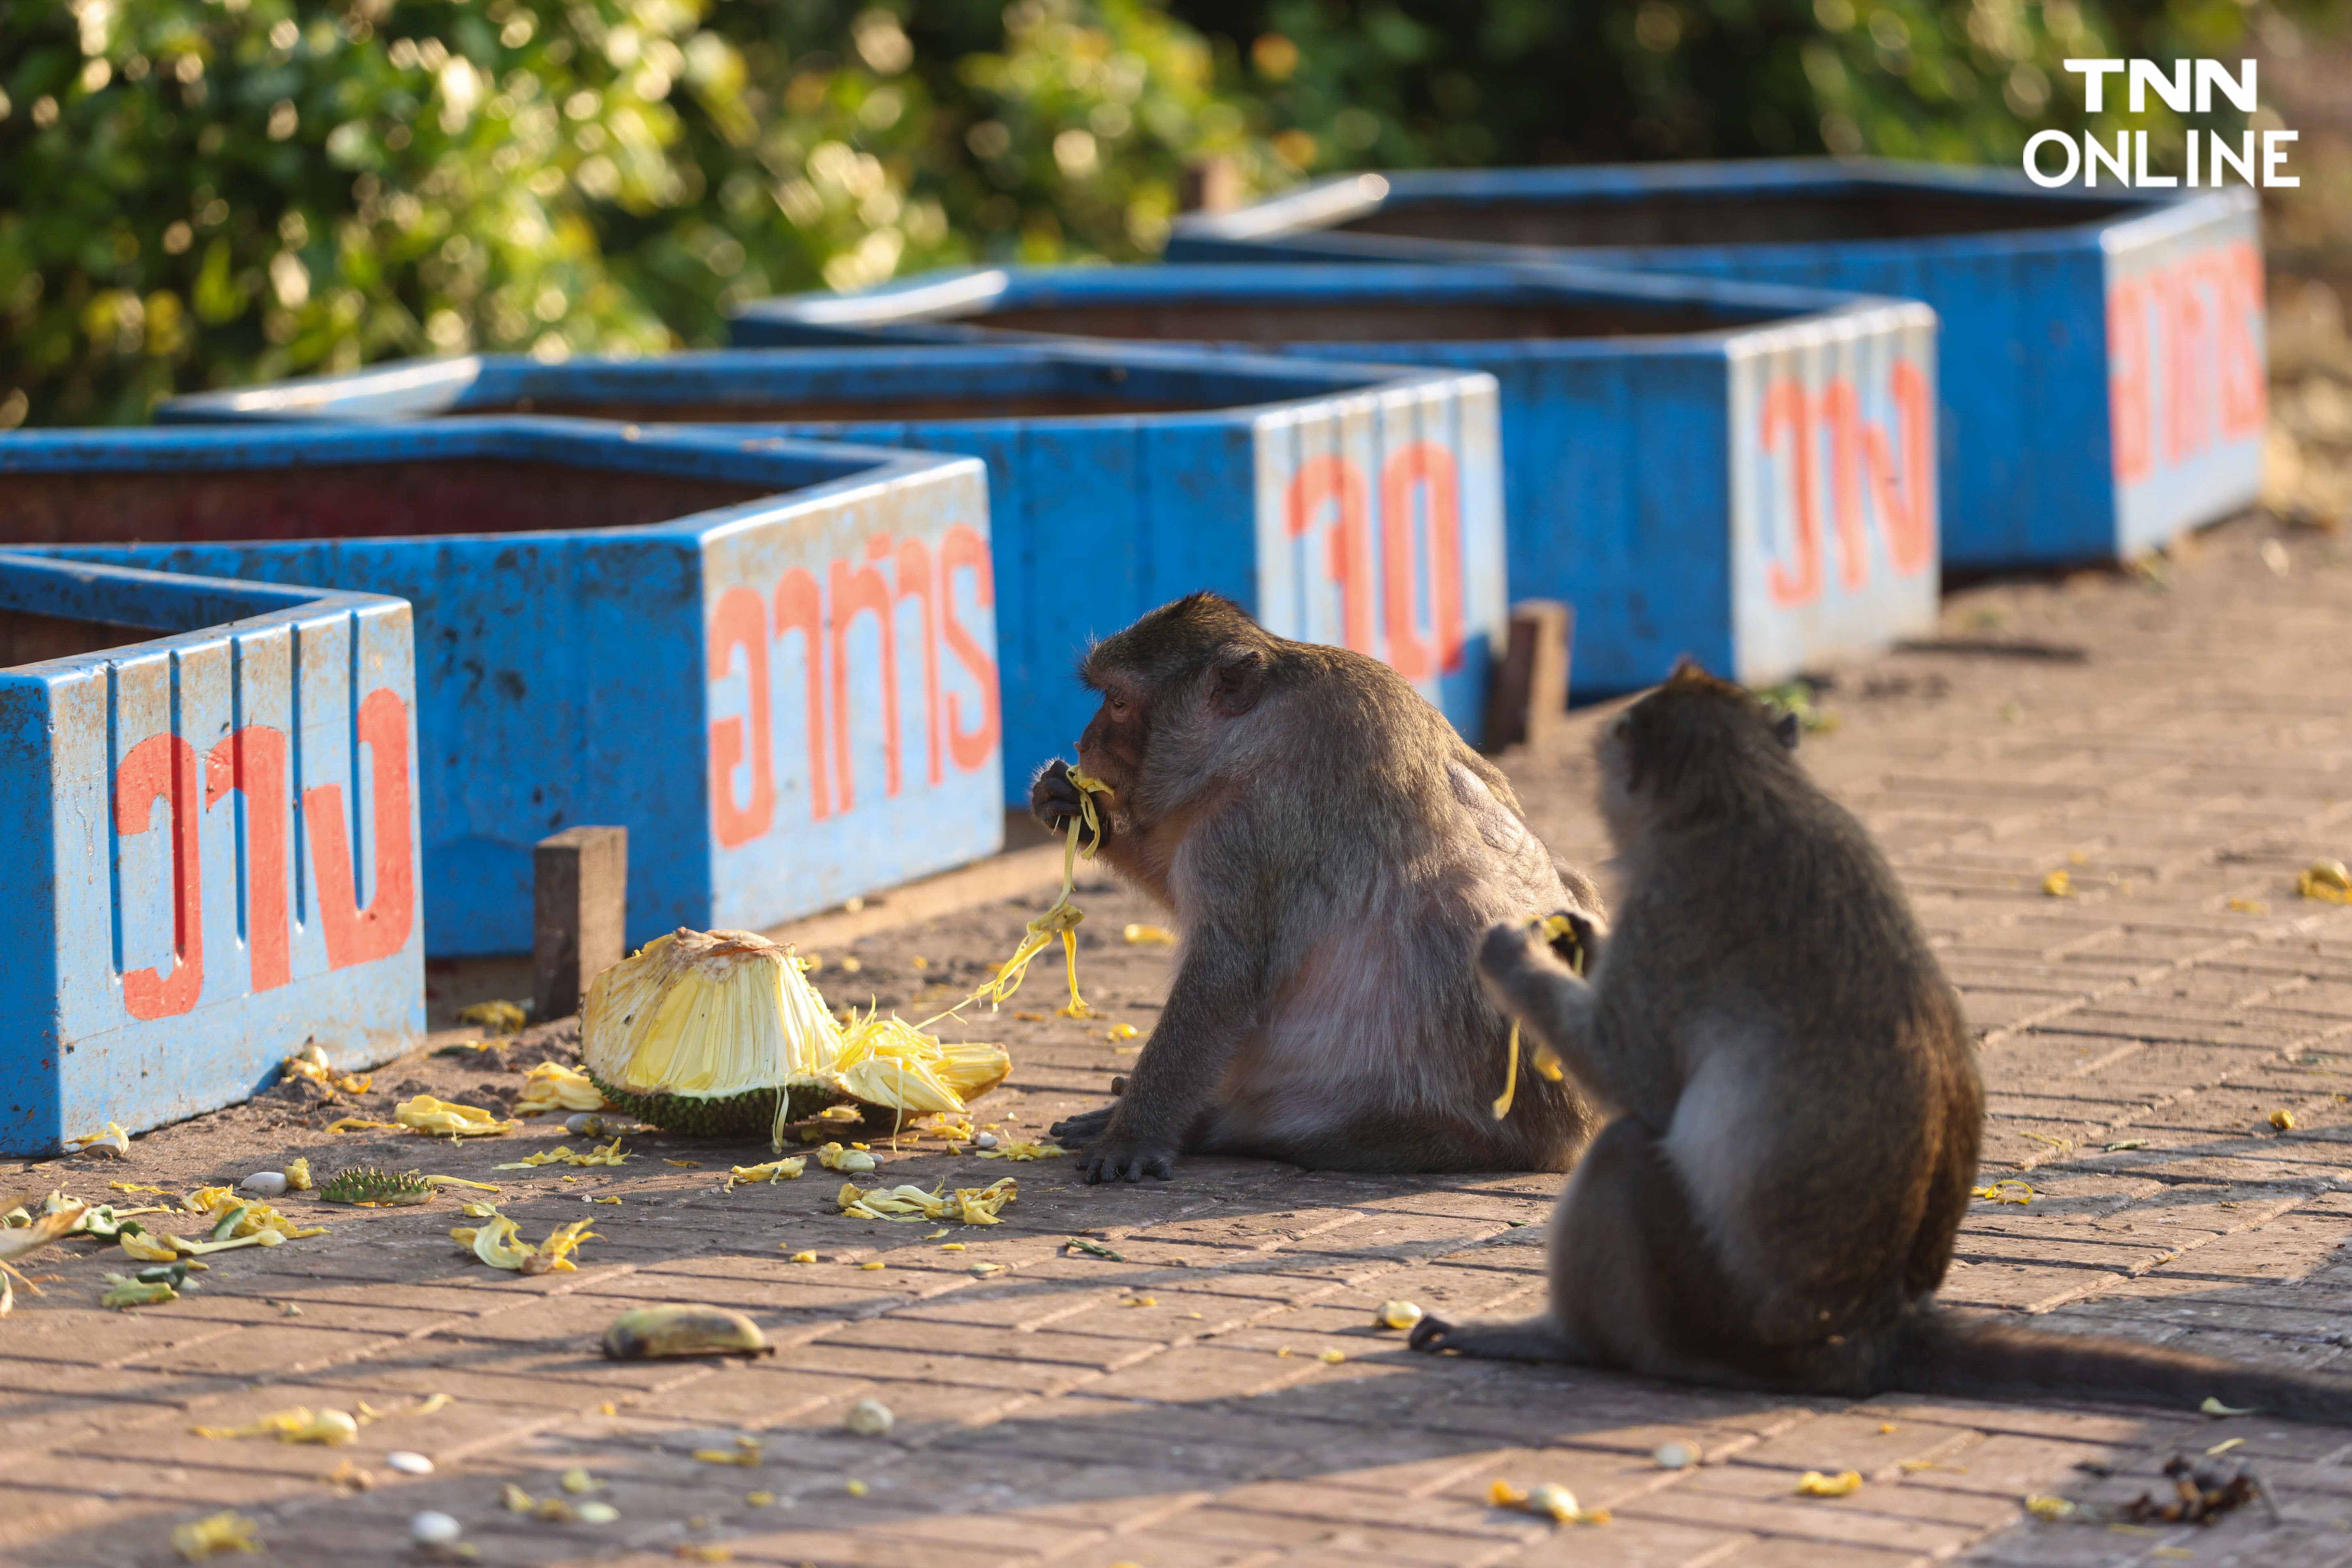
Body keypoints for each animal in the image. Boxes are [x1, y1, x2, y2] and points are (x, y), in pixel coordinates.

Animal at [1030, 594, 1599, 1185]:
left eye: (1118, 703)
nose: (1086, 740)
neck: (1256, 733)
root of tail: (1570, 1136)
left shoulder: (1249, 826)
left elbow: (1223, 975)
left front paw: (1134, 1135)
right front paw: (1079, 814)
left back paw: (1208, 1124)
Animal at [1411, 663, 2352, 1420]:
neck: (1748, 789)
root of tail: (1873, 1332)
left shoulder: (1675, 907)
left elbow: (1634, 1077)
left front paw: (1514, 952)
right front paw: (1573, 935)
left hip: (1706, 1315)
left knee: (1627, 1156)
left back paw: (1565, 1339)